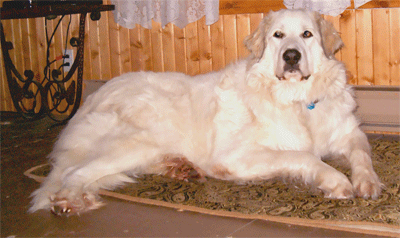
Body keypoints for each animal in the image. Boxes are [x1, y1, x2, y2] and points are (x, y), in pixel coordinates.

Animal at [30, 9, 382, 216]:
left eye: (307, 34)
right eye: (278, 36)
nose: (292, 56)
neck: (298, 99)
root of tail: (92, 97)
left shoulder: (349, 132)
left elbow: (362, 153)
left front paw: (368, 182)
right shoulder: (232, 157)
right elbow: (305, 156)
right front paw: (336, 181)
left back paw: (180, 168)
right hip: (134, 141)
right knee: (73, 173)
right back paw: (69, 200)